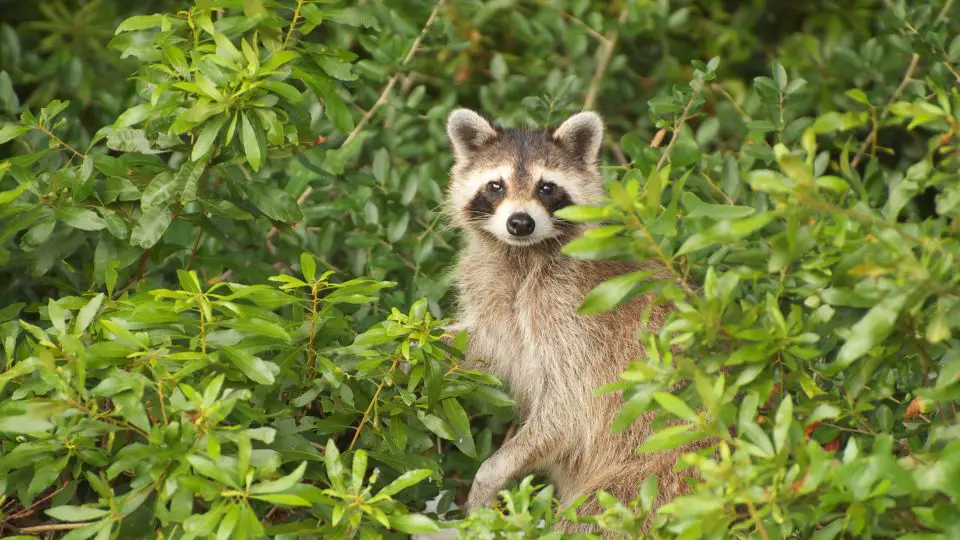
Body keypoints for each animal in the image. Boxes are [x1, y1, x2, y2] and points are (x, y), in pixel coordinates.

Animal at [442, 107, 704, 532]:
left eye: (546, 188)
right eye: (495, 186)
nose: (520, 223)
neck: (524, 254)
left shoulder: (575, 315)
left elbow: (566, 411)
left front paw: (492, 471)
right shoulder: (491, 288)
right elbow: (484, 342)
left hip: (657, 478)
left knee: (595, 517)